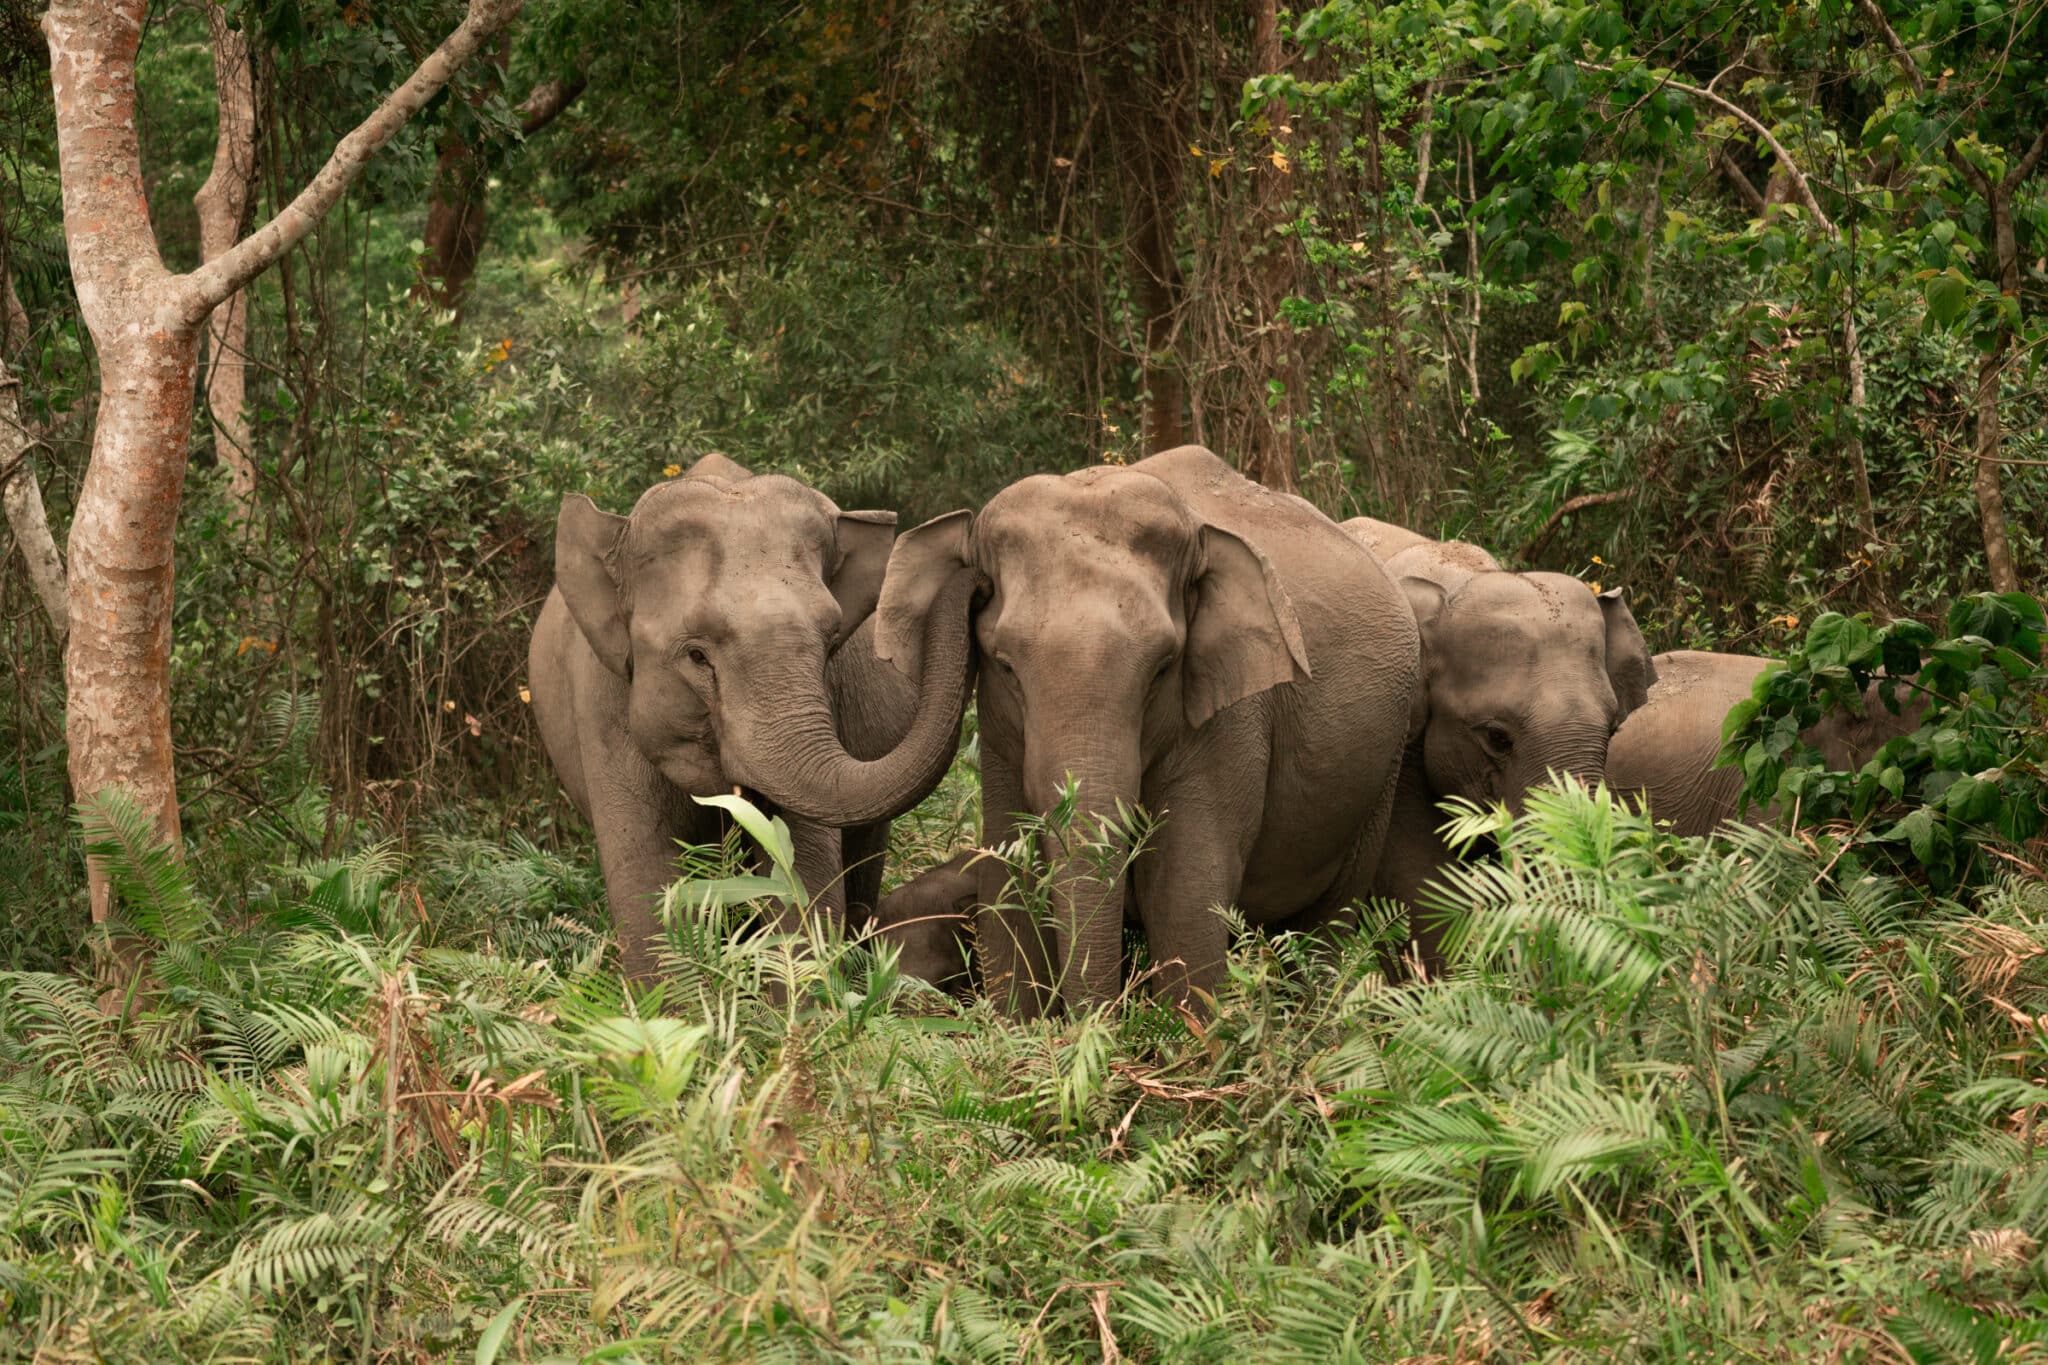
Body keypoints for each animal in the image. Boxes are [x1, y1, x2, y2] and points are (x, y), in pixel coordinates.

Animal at [527, 453, 980, 978]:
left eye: (832, 640)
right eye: (697, 656)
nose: (974, 570)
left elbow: (802, 870)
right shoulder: (601, 700)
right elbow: (646, 880)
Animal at [873, 445, 1421, 1017]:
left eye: (1162, 668)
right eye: (1004, 666)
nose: (976, 582)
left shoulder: (1232, 718)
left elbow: (1184, 885)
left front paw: (1187, 1034)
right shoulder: (1002, 737)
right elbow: (1009, 870)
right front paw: (1020, 1025)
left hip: (1381, 776)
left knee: (1325, 926)